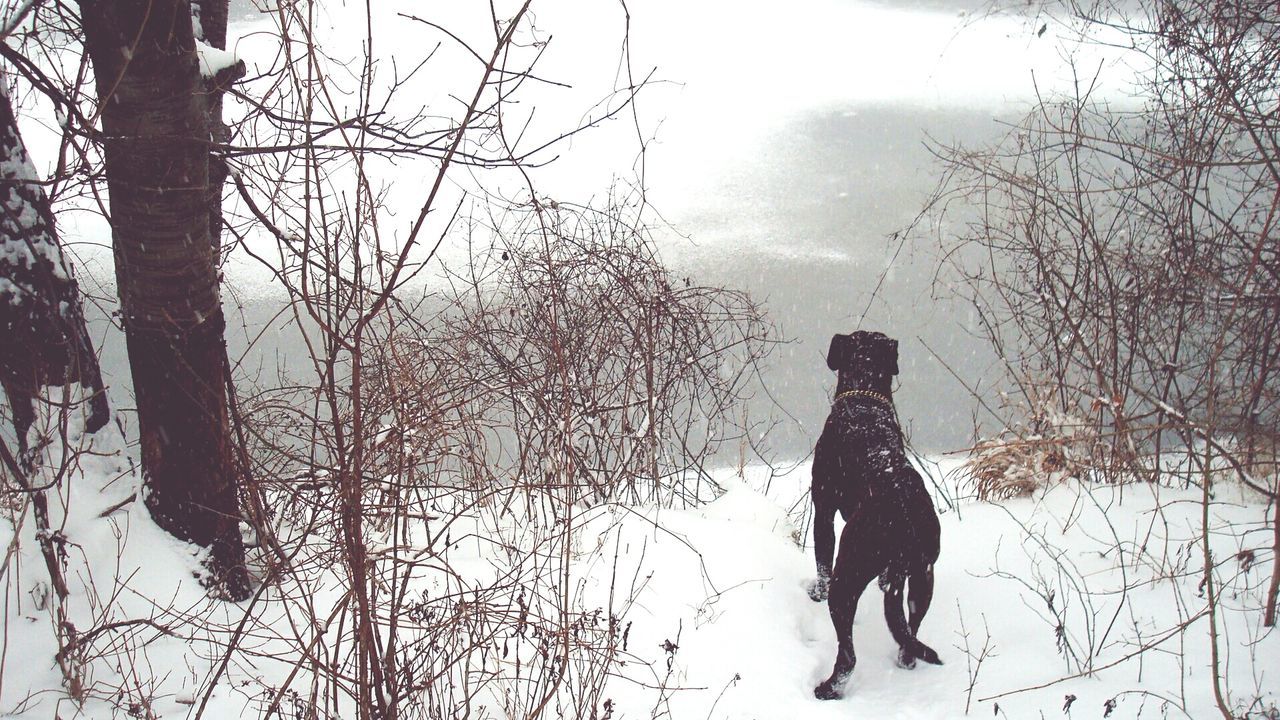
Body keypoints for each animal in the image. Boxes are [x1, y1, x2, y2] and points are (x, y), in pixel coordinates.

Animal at [808, 330, 942, 696]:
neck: (864, 396)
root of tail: (903, 514)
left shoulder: (822, 510)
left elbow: (821, 562)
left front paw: (815, 591)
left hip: (848, 576)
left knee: (848, 655)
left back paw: (829, 689)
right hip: (923, 574)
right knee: (910, 633)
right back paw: (906, 661)